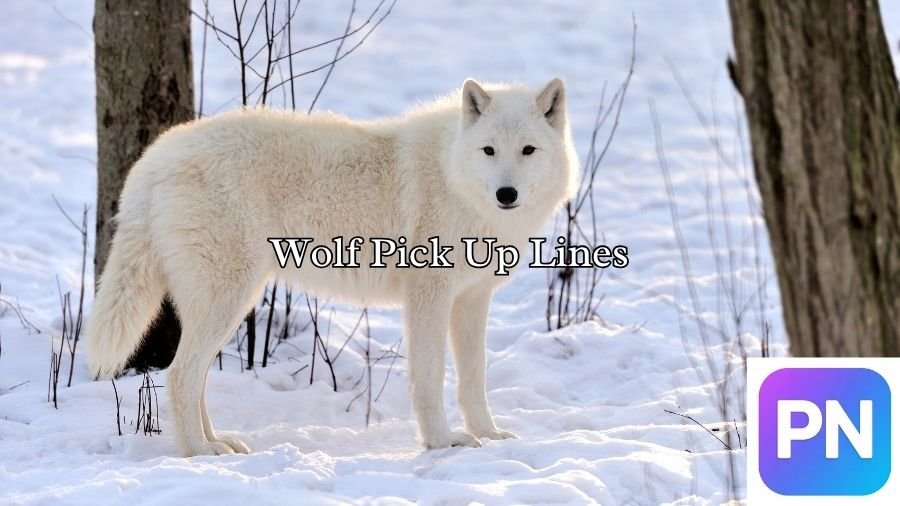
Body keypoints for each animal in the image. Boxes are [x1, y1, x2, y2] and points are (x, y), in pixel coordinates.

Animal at [85, 78, 579, 456]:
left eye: (528, 150)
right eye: (489, 150)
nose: (506, 194)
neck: (453, 175)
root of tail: (155, 158)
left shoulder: (473, 299)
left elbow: (474, 379)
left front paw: (487, 434)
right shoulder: (429, 297)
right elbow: (430, 377)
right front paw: (442, 443)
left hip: (227, 303)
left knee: (194, 377)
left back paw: (218, 442)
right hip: (229, 299)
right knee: (179, 374)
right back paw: (199, 452)